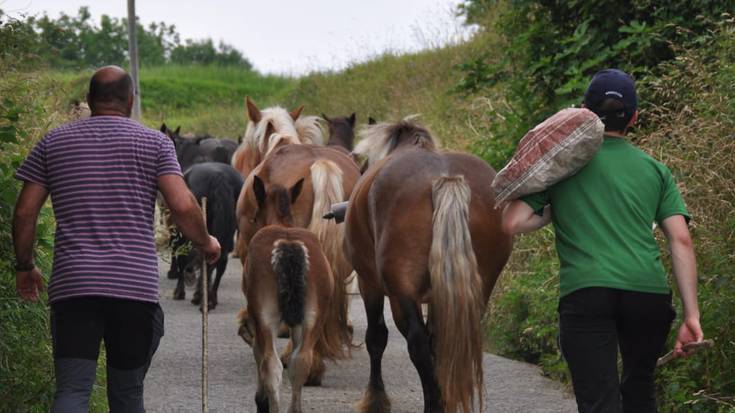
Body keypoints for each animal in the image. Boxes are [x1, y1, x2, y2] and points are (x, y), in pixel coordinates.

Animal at [239, 225, 348, 412]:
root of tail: (288, 243)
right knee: (300, 362)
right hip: (314, 317)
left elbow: (258, 352)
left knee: (271, 364)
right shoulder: (299, 324)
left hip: (265, 318)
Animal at [344, 118, 512, 412]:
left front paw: (375, 399)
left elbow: (376, 338)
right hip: (479, 285)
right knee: (445, 343)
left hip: (402, 288)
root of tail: (445, 179)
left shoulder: (370, 284)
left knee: (417, 344)